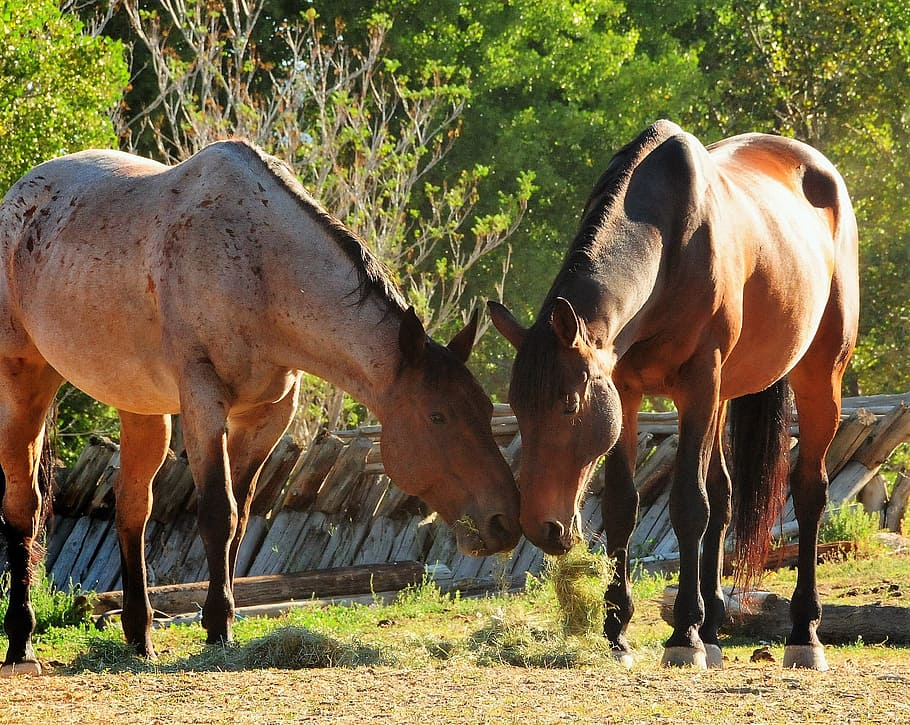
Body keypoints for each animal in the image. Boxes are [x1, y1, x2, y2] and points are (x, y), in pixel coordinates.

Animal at [0, 140, 521, 675]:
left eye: (485, 409)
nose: (505, 522)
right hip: (24, 381)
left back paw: (139, 636)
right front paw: (217, 627)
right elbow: (218, 512)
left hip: (140, 407)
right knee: (24, 507)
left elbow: (241, 519)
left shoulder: (267, 416)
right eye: (437, 416)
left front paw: (221, 617)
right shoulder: (204, 402)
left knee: (132, 509)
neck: (259, 265)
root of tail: (21, 196)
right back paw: (21, 643)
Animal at [489, 120, 858, 670]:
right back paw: (714, 628)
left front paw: (682, 636)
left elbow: (688, 503)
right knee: (724, 495)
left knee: (809, 490)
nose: (541, 526)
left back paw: (802, 634)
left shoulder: (698, 384)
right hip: (726, 393)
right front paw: (618, 630)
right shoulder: (626, 390)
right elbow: (623, 505)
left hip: (819, 374)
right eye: (517, 407)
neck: (669, 244)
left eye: (569, 404)